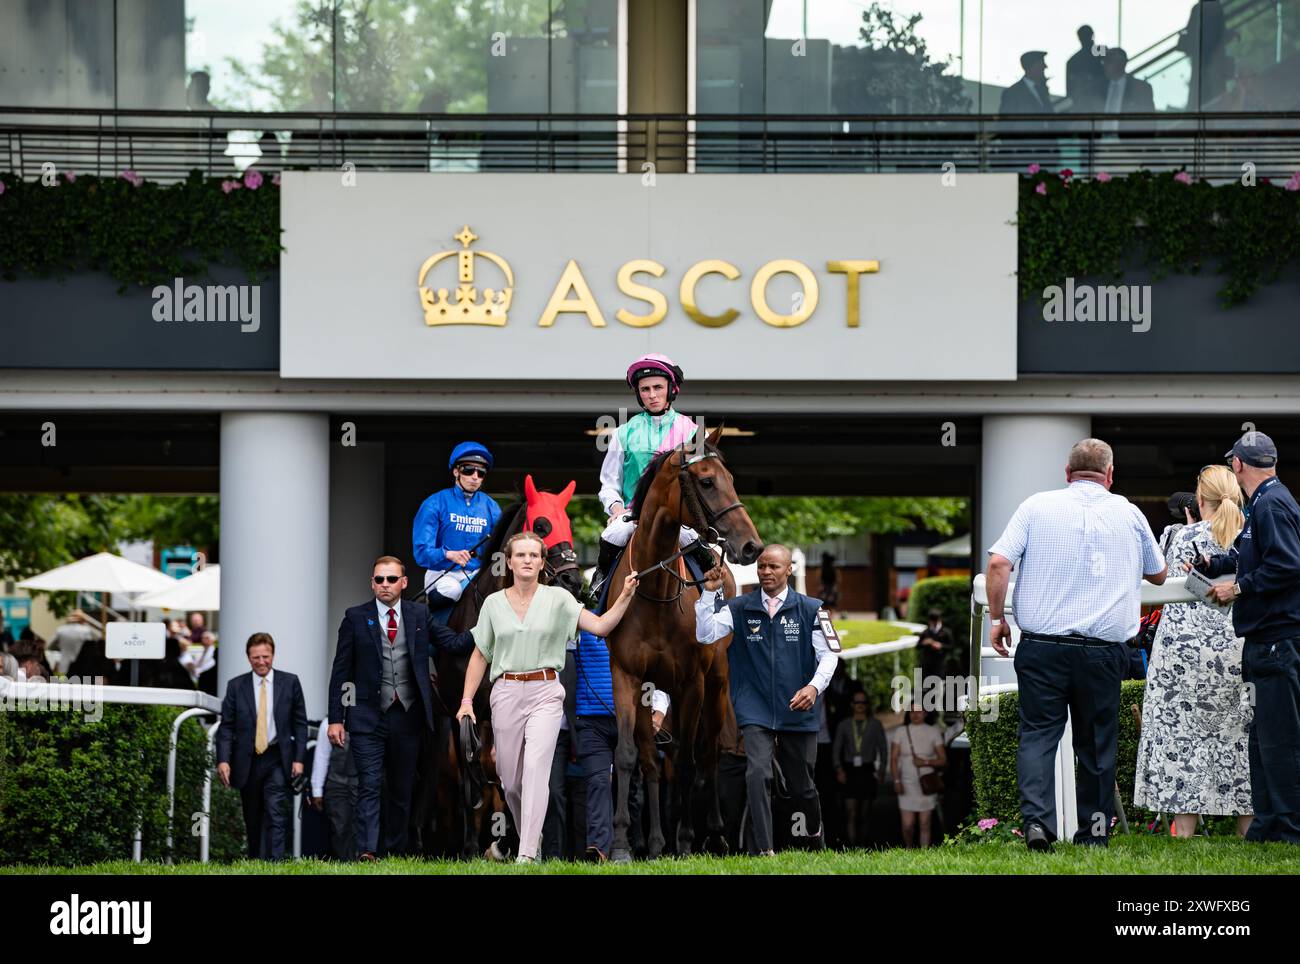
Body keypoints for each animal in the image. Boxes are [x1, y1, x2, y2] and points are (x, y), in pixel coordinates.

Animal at [603, 423, 764, 862]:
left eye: (731, 478)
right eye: (706, 481)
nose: (752, 547)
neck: (654, 592)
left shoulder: (693, 681)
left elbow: (693, 762)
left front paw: (688, 839)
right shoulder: (628, 678)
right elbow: (630, 756)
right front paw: (622, 843)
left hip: (717, 684)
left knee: (707, 755)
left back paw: (713, 834)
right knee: (658, 760)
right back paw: (658, 841)